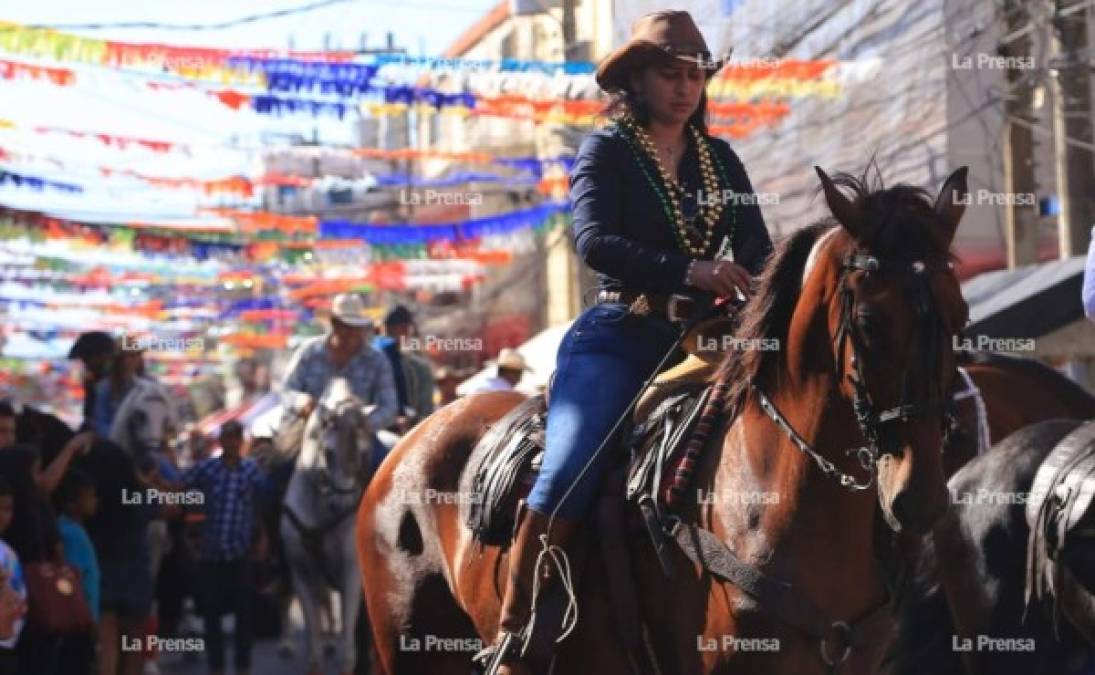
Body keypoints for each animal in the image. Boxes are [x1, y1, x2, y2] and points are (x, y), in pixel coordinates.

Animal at [282, 376, 381, 670]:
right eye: (328, 452)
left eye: (363, 453)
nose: (343, 505)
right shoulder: (302, 576)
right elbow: (314, 648)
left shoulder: (352, 576)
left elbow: (348, 651)